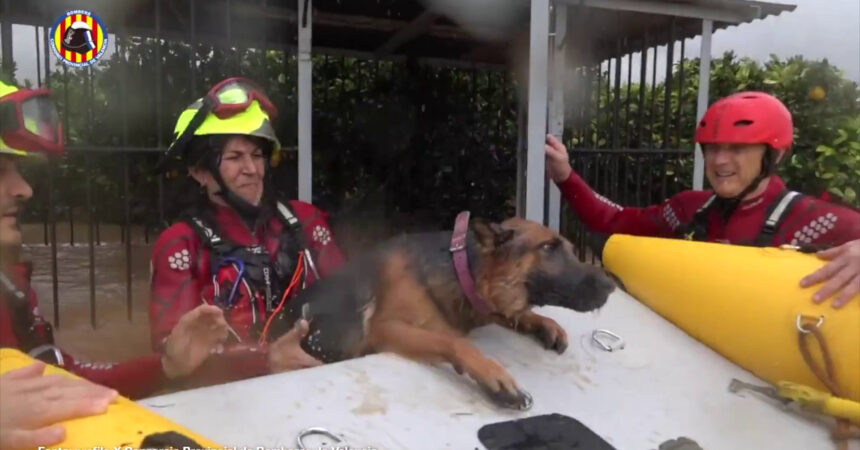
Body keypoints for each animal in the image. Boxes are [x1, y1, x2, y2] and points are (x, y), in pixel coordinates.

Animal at [272, 216, 616, 410]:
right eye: (548, 248)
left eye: (570, 248)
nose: (611, 284)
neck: (460, 269)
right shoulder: (386, 328)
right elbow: (454, 341)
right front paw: (495, 376)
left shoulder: (481, 307)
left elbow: (509, 313)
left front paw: (544, 323)